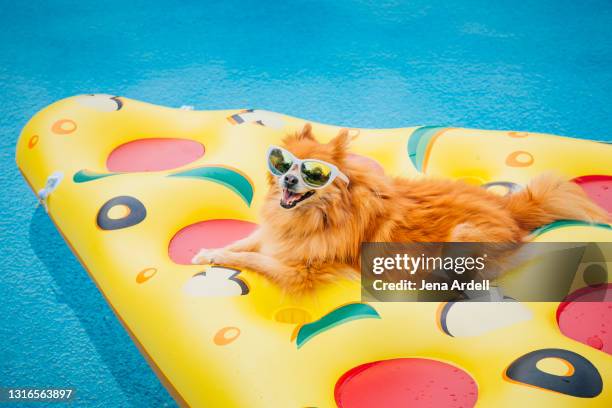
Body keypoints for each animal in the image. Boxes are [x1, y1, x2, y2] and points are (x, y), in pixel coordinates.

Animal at [192, 122, 612, 292]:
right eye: (282, 164)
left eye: (314, 174)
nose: (288, 181)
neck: (317, 217)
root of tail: (511, 209)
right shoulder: (275, 235)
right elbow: (243, 244)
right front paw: (208, 251)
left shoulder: (301, 272)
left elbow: (252, 258)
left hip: (460, 238)